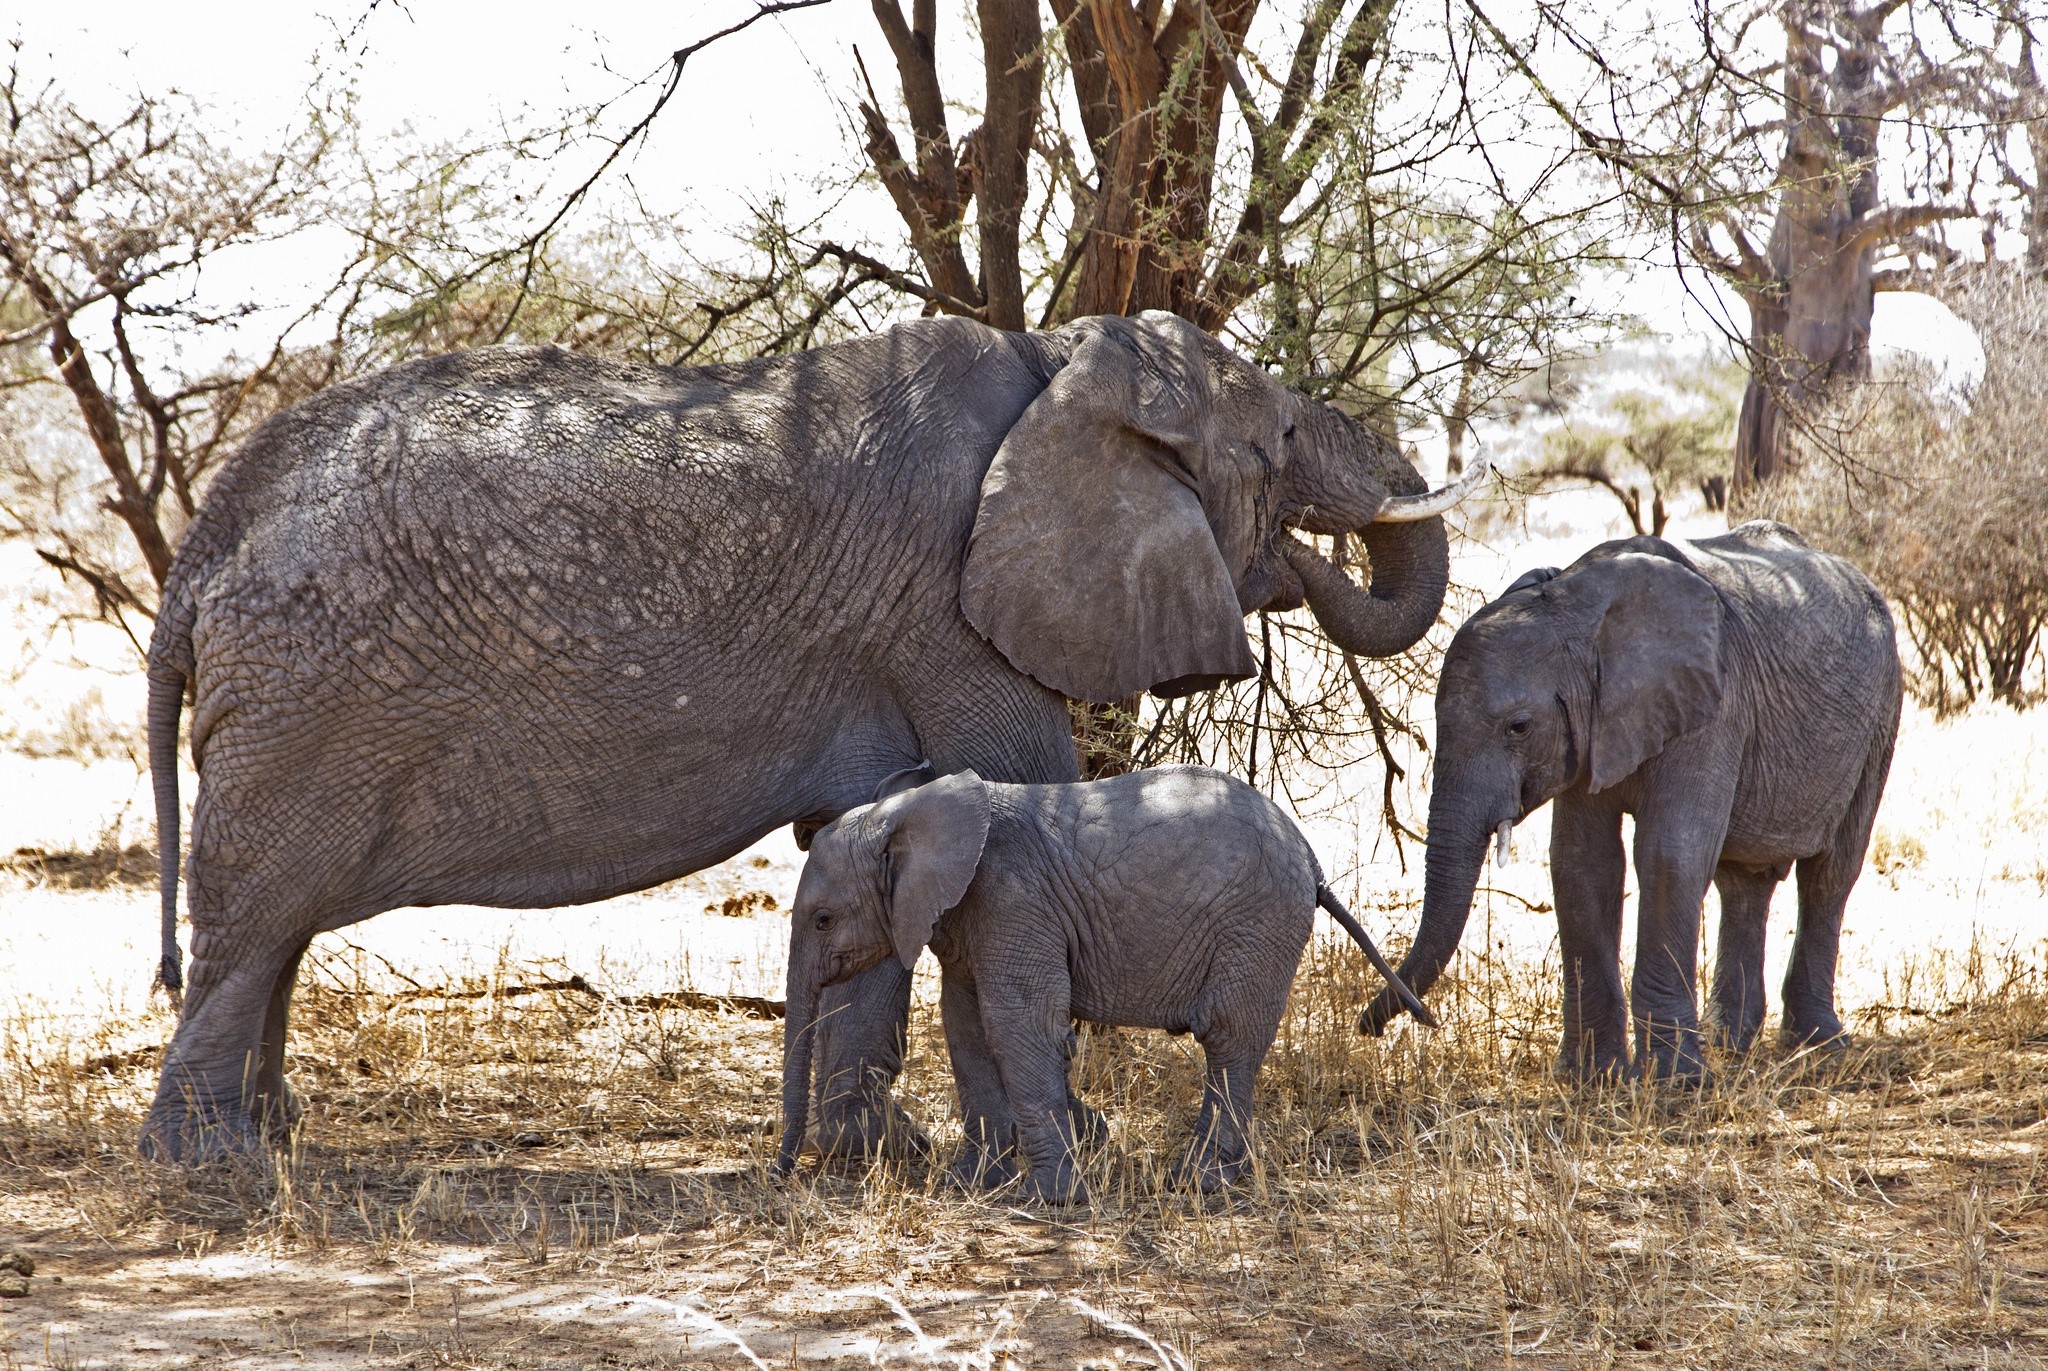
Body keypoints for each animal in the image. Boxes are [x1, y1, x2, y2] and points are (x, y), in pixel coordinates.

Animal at [771, 766, 1433, 1201]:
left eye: (824, 919)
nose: (782, 1178)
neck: (911, 812)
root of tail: (1311, 858)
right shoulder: (967, 918)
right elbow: (966, 1028)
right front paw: (970, 1184)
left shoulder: (1012, 899)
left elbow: (1018, 1024)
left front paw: (1050, 1200)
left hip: (1258, 924)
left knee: (1229, 1039)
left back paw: (1199, 1181)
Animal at [1359, 521, 1902, 1082]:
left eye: (1519, 727)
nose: (1371, 1025)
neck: (1576, 606)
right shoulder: (1590, 730)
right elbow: (1582, 864)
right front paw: (1592, 1078)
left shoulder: (1714, 705)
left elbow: (1669, 857)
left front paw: (1677, 1083)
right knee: (1743, 881)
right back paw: (1730, 1044)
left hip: (1882, 713)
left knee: (1830, 873)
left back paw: (1819, 1046)